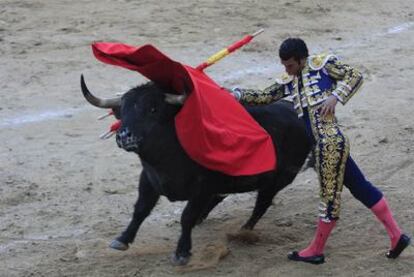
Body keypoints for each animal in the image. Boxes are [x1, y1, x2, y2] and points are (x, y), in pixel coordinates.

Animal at [80, 75, 310, 264]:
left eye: (153, 109)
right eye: (122, 112)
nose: (124, 136)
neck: (166, 158)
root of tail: (296, 112)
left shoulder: (202, 188)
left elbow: (186, 217)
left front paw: (182, 252)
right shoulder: (148, 179)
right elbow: (140, 210)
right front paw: (122, 239)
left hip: (279, 179)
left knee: (262, 204)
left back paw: (243, 232)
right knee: (224, 197)